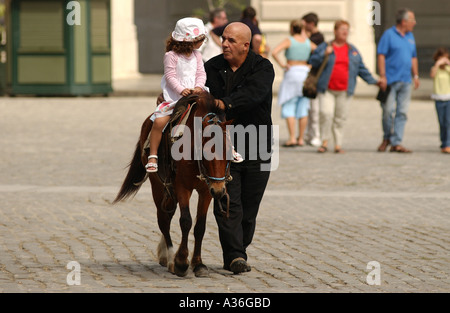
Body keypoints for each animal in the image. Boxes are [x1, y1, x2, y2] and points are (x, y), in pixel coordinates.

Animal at [112, 91, 232, 276]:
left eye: (228, 151)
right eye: (206, 152)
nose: (219, 191)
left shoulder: (206, 190)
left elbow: (200, 226)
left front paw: (198, 264)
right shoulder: (183, 187)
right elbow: (186, 221)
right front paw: (181, 261)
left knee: (168, 215)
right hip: (157, 185)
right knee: (163, 219)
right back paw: (169, 257)